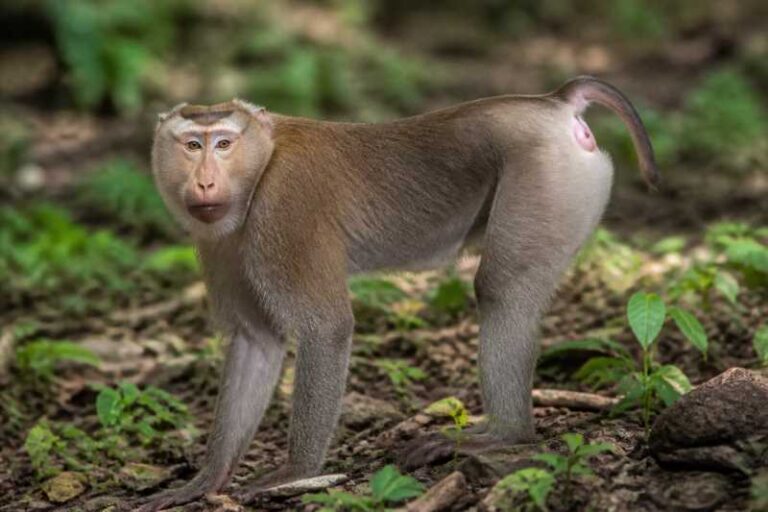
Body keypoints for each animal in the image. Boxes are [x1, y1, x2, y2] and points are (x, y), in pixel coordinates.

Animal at [138, 76, 658, 510]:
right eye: (192, 145)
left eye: (224, 143)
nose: (205, 180)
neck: (263, 163)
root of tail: (554, 103)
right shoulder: (220, 241)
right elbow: (256, 342)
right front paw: (206, 480)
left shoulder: (284, 210)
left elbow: (327, 328)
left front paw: (295, 472)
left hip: (546, 176)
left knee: (502, 289)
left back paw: (505, 435)